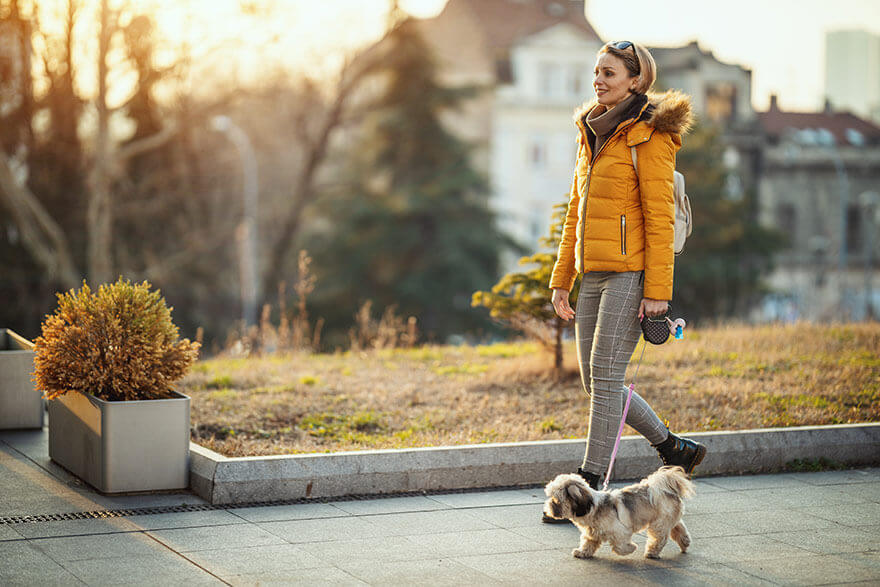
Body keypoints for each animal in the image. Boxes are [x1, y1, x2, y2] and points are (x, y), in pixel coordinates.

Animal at [544, 466, 696, 560]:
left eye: (556, 500)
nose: (547, 507)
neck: (594, 508)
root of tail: (664, 489)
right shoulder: (591, 533)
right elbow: (588, 543)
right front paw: (582, 552)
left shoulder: (620, 531)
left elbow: (619, 546)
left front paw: (631, 548)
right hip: (668, 518)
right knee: (678, 528)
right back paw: (685, 542)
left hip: (659, 523)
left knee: (659, 538)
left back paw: (652, 552)